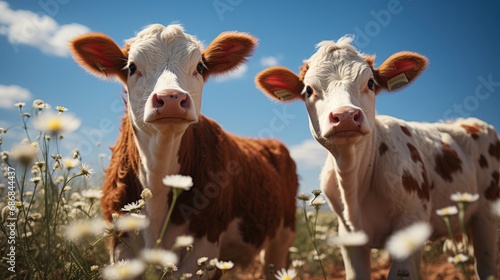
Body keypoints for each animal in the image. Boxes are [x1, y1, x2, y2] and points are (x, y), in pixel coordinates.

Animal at [70, 24, 296, 278]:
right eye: (132, 66)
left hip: (282, 238)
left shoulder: (205, 242)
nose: (171, 98)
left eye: (199, 66)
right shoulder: (120, 242)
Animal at [256, 36, 498, 278]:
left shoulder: (410, 222)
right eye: (308, 89)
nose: (345, 116)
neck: (354, 184)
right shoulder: (349, 238)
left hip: (486, 216)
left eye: (371, 83)